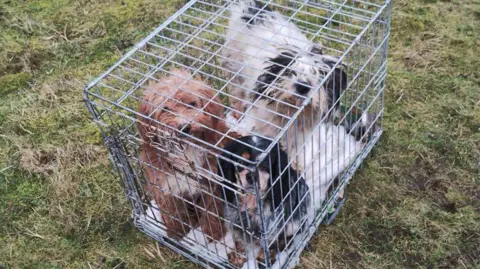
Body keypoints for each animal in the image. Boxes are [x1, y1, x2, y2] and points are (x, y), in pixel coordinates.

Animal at [136, 68, 233, 241]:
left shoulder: (210, 182)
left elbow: (212, 209)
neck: (185, 149)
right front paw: (176, 232)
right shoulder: (165, 185)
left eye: (192, 104)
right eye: (166, 109)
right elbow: (172, 212)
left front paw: (214, 233)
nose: (185, 127)